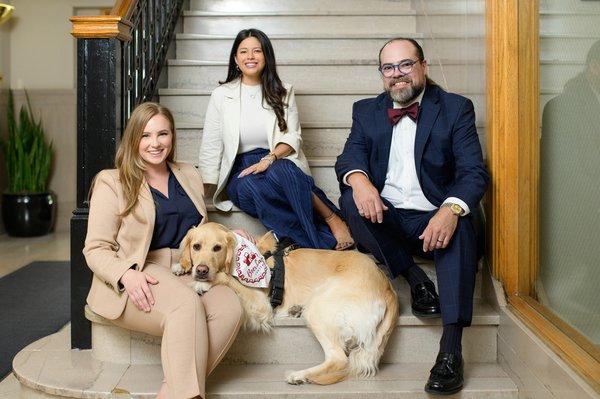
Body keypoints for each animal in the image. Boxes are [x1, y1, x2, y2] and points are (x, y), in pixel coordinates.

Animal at [173, 223, 398, 386]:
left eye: (217, 248)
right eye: (196, 246)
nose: (201, 270)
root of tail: (388, 287)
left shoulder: (261, 303)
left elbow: (226, 278)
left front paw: (202, 283)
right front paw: (181, 265)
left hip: (320, 308)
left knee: (338, 358)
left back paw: (300, 375)